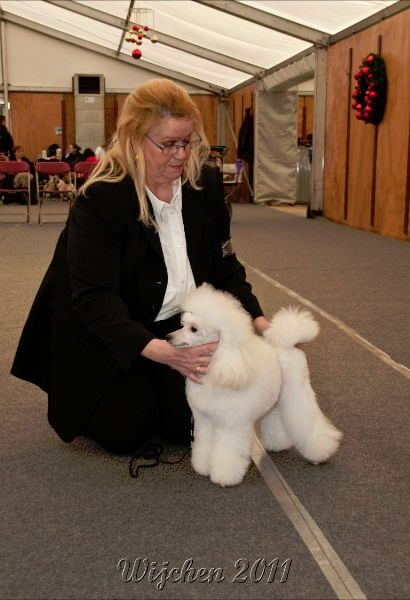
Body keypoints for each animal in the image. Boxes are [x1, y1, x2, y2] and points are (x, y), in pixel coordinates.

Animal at [167, 283, 342, 486]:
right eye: (183, 325)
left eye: (194, 329)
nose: (168, 337)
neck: (218, 366)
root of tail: (290, 345)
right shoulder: (205, 421)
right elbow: (204, 447)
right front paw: (203, 467)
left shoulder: (231, 425)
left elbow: (227, 453)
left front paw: (224, 477)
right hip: (277, 399)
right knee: (275, 418)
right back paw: (277, 444)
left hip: (298, 391)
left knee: (308, 422)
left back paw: (320, 453)